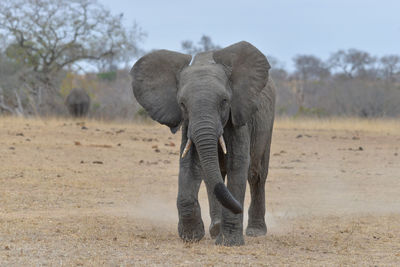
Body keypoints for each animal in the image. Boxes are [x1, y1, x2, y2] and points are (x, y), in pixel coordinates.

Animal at [131, 40, 276, 246]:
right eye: (182, 104)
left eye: (224, 101)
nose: (238, 208)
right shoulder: (188, 125)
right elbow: (190, 164)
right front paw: (191, 236)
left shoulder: (239, 117)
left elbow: (238, 164)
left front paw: (229, 243)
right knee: (213, 177)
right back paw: (215, 229)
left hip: (267, 122)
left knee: (256, 174)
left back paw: (254, 231)